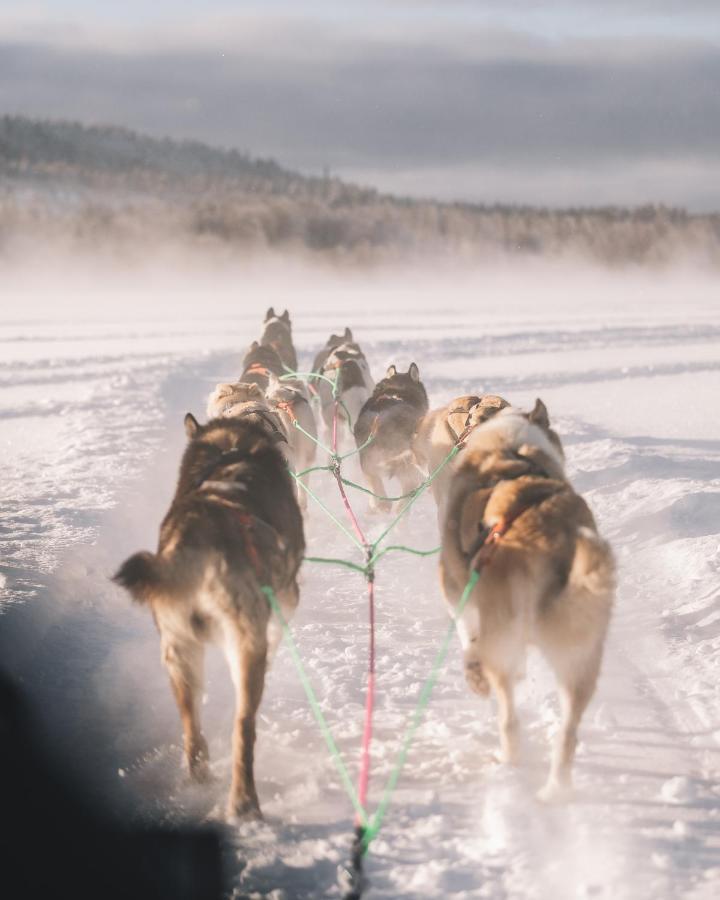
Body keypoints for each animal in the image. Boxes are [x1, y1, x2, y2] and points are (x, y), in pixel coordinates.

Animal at [114, 418, 304, 820]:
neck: (230, 449)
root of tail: (196, 540)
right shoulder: (285, 597)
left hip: (178, 651)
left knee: (191, 726)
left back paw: (199, 780)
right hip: (244, 645)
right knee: (243, 727)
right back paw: (244, 803)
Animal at [438, 400, 612, 800]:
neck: (511, 448)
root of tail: (556, 539)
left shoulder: (456, 588)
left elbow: (466, 635)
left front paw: (473, 673)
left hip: (504, 640)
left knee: (509, 717)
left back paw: (508, 759)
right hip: (580, 658)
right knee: (567, 734)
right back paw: (555, 791)